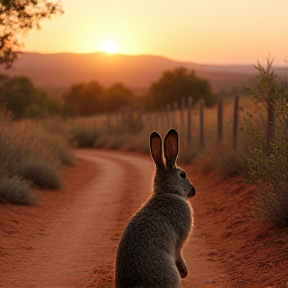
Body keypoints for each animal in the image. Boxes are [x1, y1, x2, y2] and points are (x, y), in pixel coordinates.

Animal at [115, 129, 196, 288]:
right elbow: (179, 255)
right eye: (183, 175)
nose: (193, 191)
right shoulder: (179, 243)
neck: (168, 192)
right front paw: (185, 272)